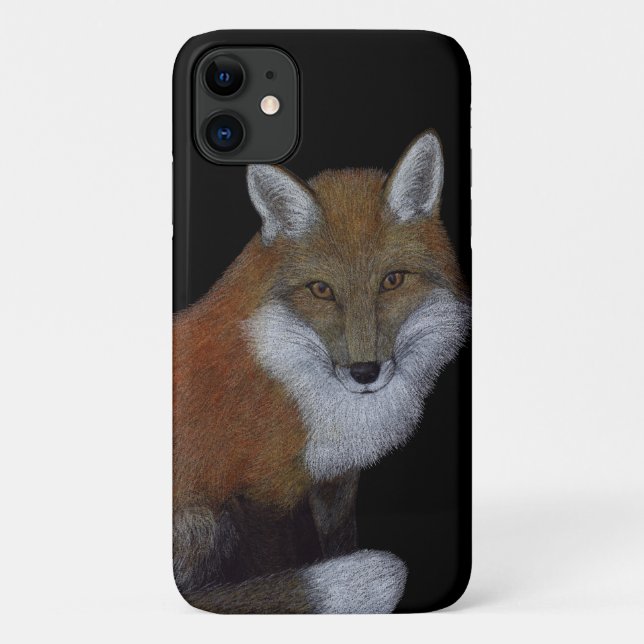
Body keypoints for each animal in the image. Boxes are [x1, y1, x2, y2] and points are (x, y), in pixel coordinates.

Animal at [173, 129, 471, 613]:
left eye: (392, 281)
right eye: (321, 290)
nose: (365, 372)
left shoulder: (335, 478)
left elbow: (338, 543)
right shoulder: (261, 495)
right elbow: (277, 565)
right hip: (206, 522)